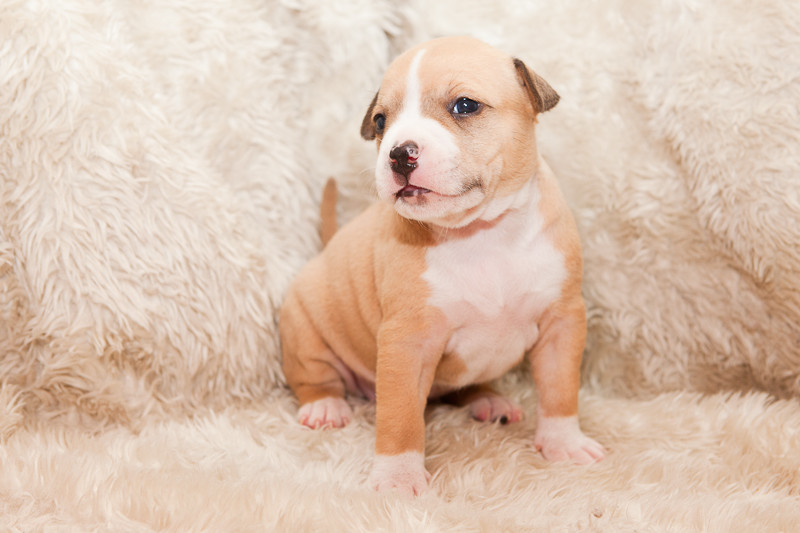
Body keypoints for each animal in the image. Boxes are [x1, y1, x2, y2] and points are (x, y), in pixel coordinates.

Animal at [280, 36, 605, 496]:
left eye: (465, 105)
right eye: (380, 121)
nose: (399, 154)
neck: (481, 233)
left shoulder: (562, 321)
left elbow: (560, 389)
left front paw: (564, 443)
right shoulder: (407, 342)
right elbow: (399, 417)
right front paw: (398, 478)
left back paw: (488, 400)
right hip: (305, 331)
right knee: (312, 375)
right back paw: (325, 406)